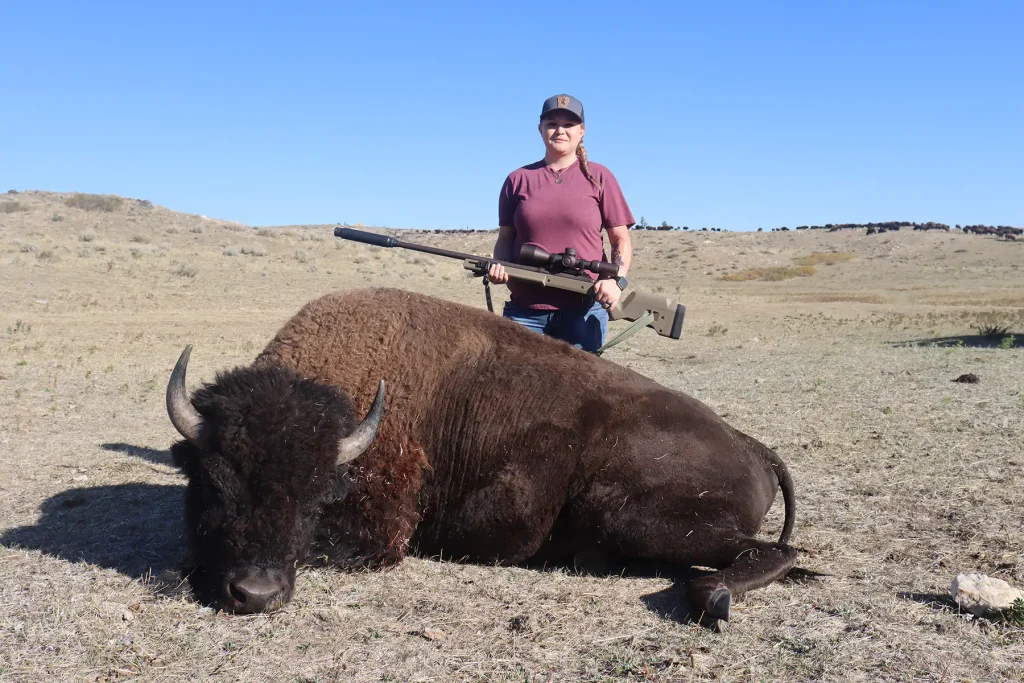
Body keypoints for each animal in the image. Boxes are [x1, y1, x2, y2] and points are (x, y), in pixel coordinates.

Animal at [165, 288, 798, 629]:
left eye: (317, 492)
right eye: (213, 482)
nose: (256, 594)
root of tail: (749, 442)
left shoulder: (381, 535)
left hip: (633, 518)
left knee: (778, 552)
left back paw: (714, 597)